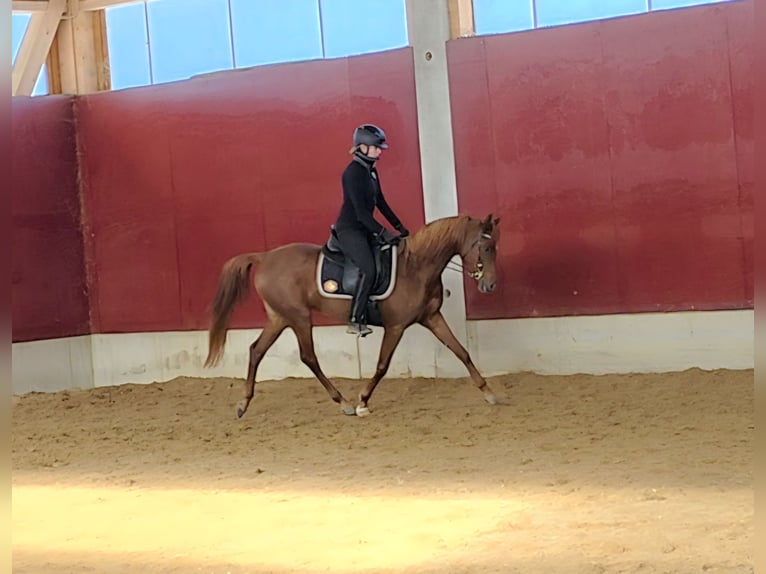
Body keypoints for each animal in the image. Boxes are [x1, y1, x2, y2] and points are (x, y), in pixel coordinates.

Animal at [204, 213, 501, 417]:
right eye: (486, 248)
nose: (490, 285)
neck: (415, 267)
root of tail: (264, 257)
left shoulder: (432, 317)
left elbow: (461, 351)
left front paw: (488, 392)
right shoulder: (396, 326)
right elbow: (382, 365)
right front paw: (363, 401)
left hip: (280, 317)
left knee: (256, 350)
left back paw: (243, 404)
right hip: (298, 317)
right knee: (308, 357)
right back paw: (344, 403)